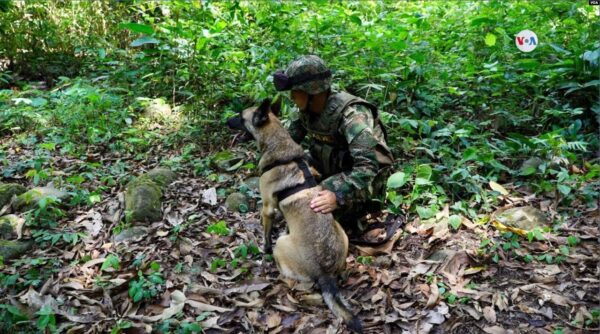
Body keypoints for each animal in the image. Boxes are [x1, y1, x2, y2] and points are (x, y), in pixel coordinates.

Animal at [227, 98, 364, 332]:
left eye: (240, 116)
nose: (226, 121)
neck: (278, 144)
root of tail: (325, 273)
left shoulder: (267, 208)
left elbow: (266, 236)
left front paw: (263, 249)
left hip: (282, 245)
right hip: (341, 232)